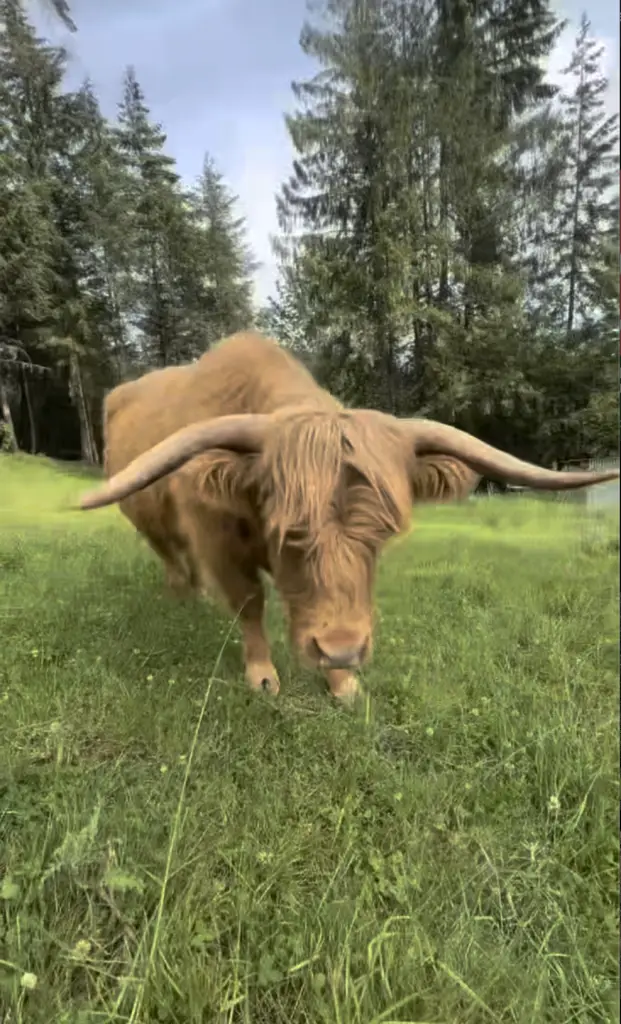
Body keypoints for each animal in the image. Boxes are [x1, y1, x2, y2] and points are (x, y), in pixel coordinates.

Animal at [78, 330, 619, 702]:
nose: (340, 650)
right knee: (170, 553)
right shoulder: (219, 543)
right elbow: (249, 602)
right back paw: (181, 594)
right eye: (291, 531)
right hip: (145, 517)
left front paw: (342, 682)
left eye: (381, 533)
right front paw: (263, 675)